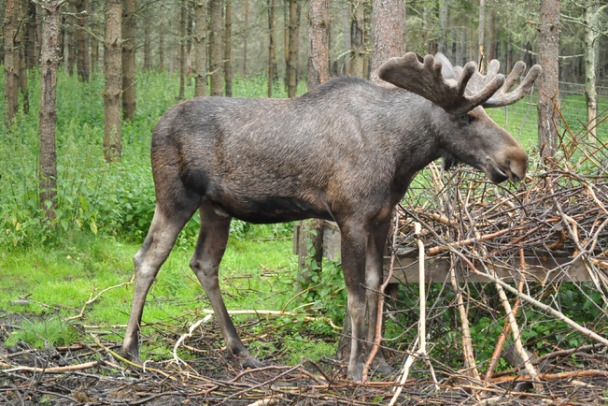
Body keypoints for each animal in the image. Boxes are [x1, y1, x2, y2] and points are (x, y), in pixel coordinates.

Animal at [121, 53, 540, 380]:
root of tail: (155, 126)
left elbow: (377, 286)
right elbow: (355, 296)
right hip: (175, 197)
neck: (401, 156)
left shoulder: (382, 217)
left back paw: (240, 349)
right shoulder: (350, 215)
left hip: (216, 208)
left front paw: (380, 361)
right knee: (148, 258)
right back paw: (131, 349)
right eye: (467, 117)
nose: (518, 159)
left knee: (204, 263)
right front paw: (354, 367)